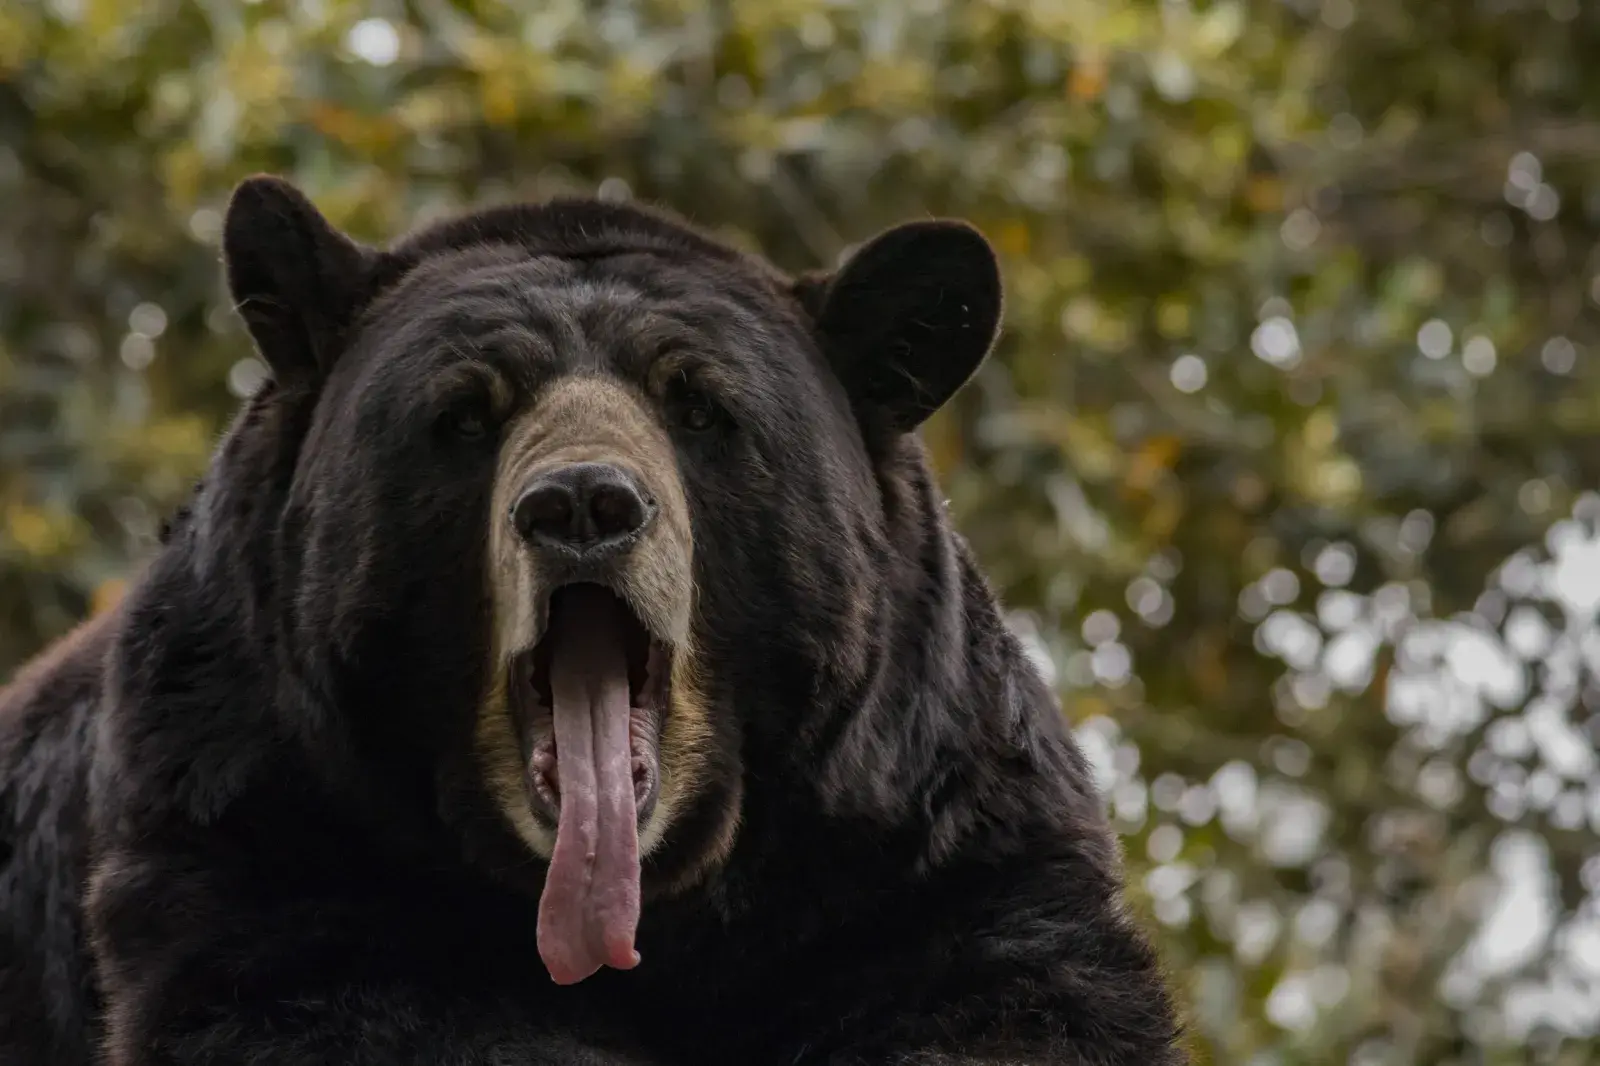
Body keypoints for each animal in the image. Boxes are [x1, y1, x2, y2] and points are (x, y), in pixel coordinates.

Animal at [0, 174, 1186, 1066]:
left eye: (700, 405)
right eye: (464, 414)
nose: (582, 505)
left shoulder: (920, 837)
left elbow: (1005, 995)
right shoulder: (259, 809)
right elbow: (323, 999)